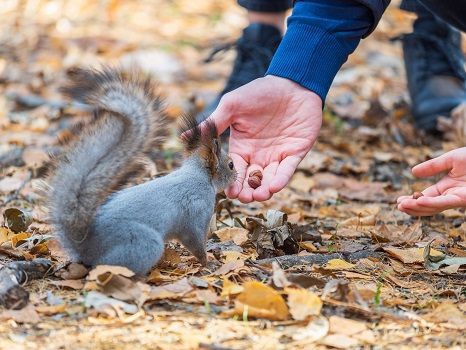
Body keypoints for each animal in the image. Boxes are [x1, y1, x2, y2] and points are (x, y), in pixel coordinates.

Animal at [43, 67, 237, 274]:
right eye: (230, 164)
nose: (238, 175)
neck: (198, 175)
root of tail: (86, 247)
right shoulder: (197, 211)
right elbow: (195, 240)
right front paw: (209, 263)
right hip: (142, 243)